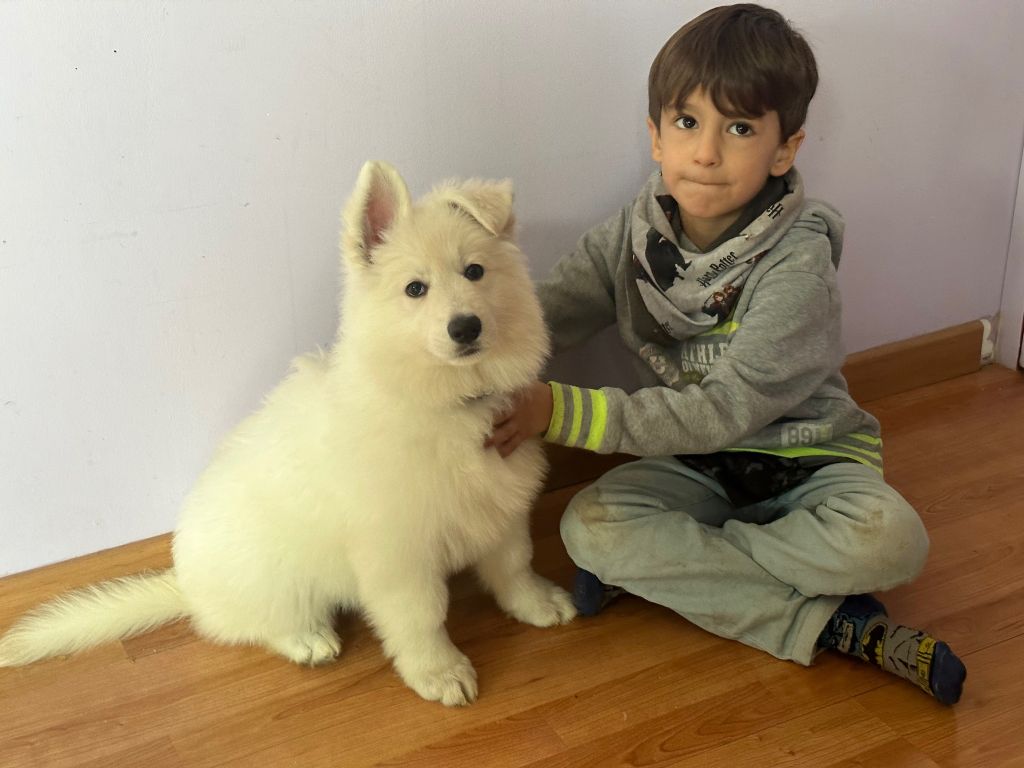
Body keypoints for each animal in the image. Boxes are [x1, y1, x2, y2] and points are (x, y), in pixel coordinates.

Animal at [0, 161, 576, 706]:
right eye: (416, 289)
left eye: (475, 271)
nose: (466, 327)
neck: (445, 399)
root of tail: (187, 586)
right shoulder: (397, 553)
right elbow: (421, 616)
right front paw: (439, 672)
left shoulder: (501, 505)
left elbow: (514, 564)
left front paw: (537, 603)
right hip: (274, 577)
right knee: (251, 625)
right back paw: (307, 639)